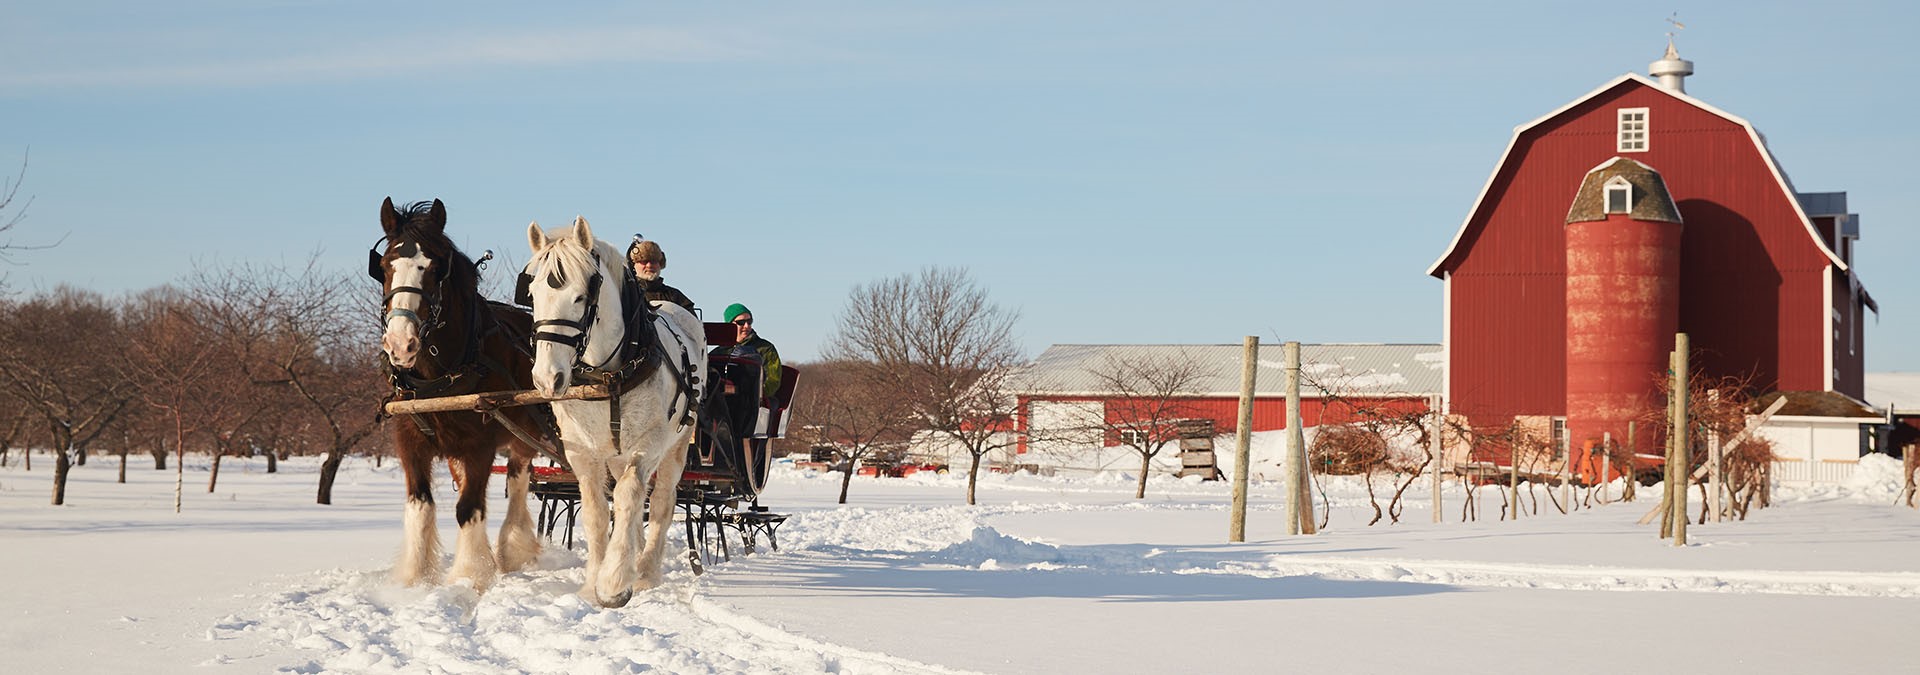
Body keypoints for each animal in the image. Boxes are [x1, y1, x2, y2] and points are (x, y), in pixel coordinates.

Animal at [370, 196, 545, 590]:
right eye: (385, 266)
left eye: (435, 269)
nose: (400, 344)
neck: (438, 376)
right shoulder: (410, 441)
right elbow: (419, 505)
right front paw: (414, 578)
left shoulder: (479, 445)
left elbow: (469, 508)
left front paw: (469, 575)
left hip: (526, 430)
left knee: (518, 475)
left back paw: (512, 547)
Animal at [526, 218, 706, 609]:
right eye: (532, 295)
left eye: (581, 296)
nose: (548, 378)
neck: (607, 375)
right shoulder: (582, 451)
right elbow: (596, 510)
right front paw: (592, 582)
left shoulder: (648, 445)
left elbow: (629, 498)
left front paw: (614, 582)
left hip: (678, 442)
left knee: (661, 501)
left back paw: (647, 570)